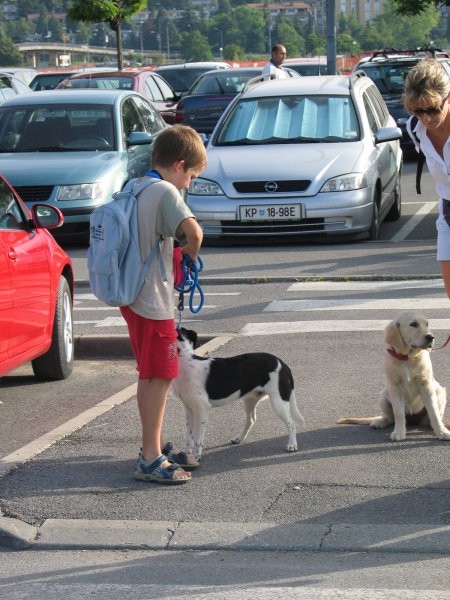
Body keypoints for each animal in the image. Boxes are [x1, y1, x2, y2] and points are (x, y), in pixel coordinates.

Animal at [172, 328, 306, 464]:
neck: (184, 359)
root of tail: (282, 363)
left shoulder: (202, 410)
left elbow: (197, 439)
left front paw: (195, 458)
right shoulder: (189, 409)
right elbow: (189, 436)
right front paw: (185, 455)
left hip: (279, 402)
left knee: (291, 423)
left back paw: (292, 445)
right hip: (250, 400)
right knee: (251, 419)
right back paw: (239, 438)